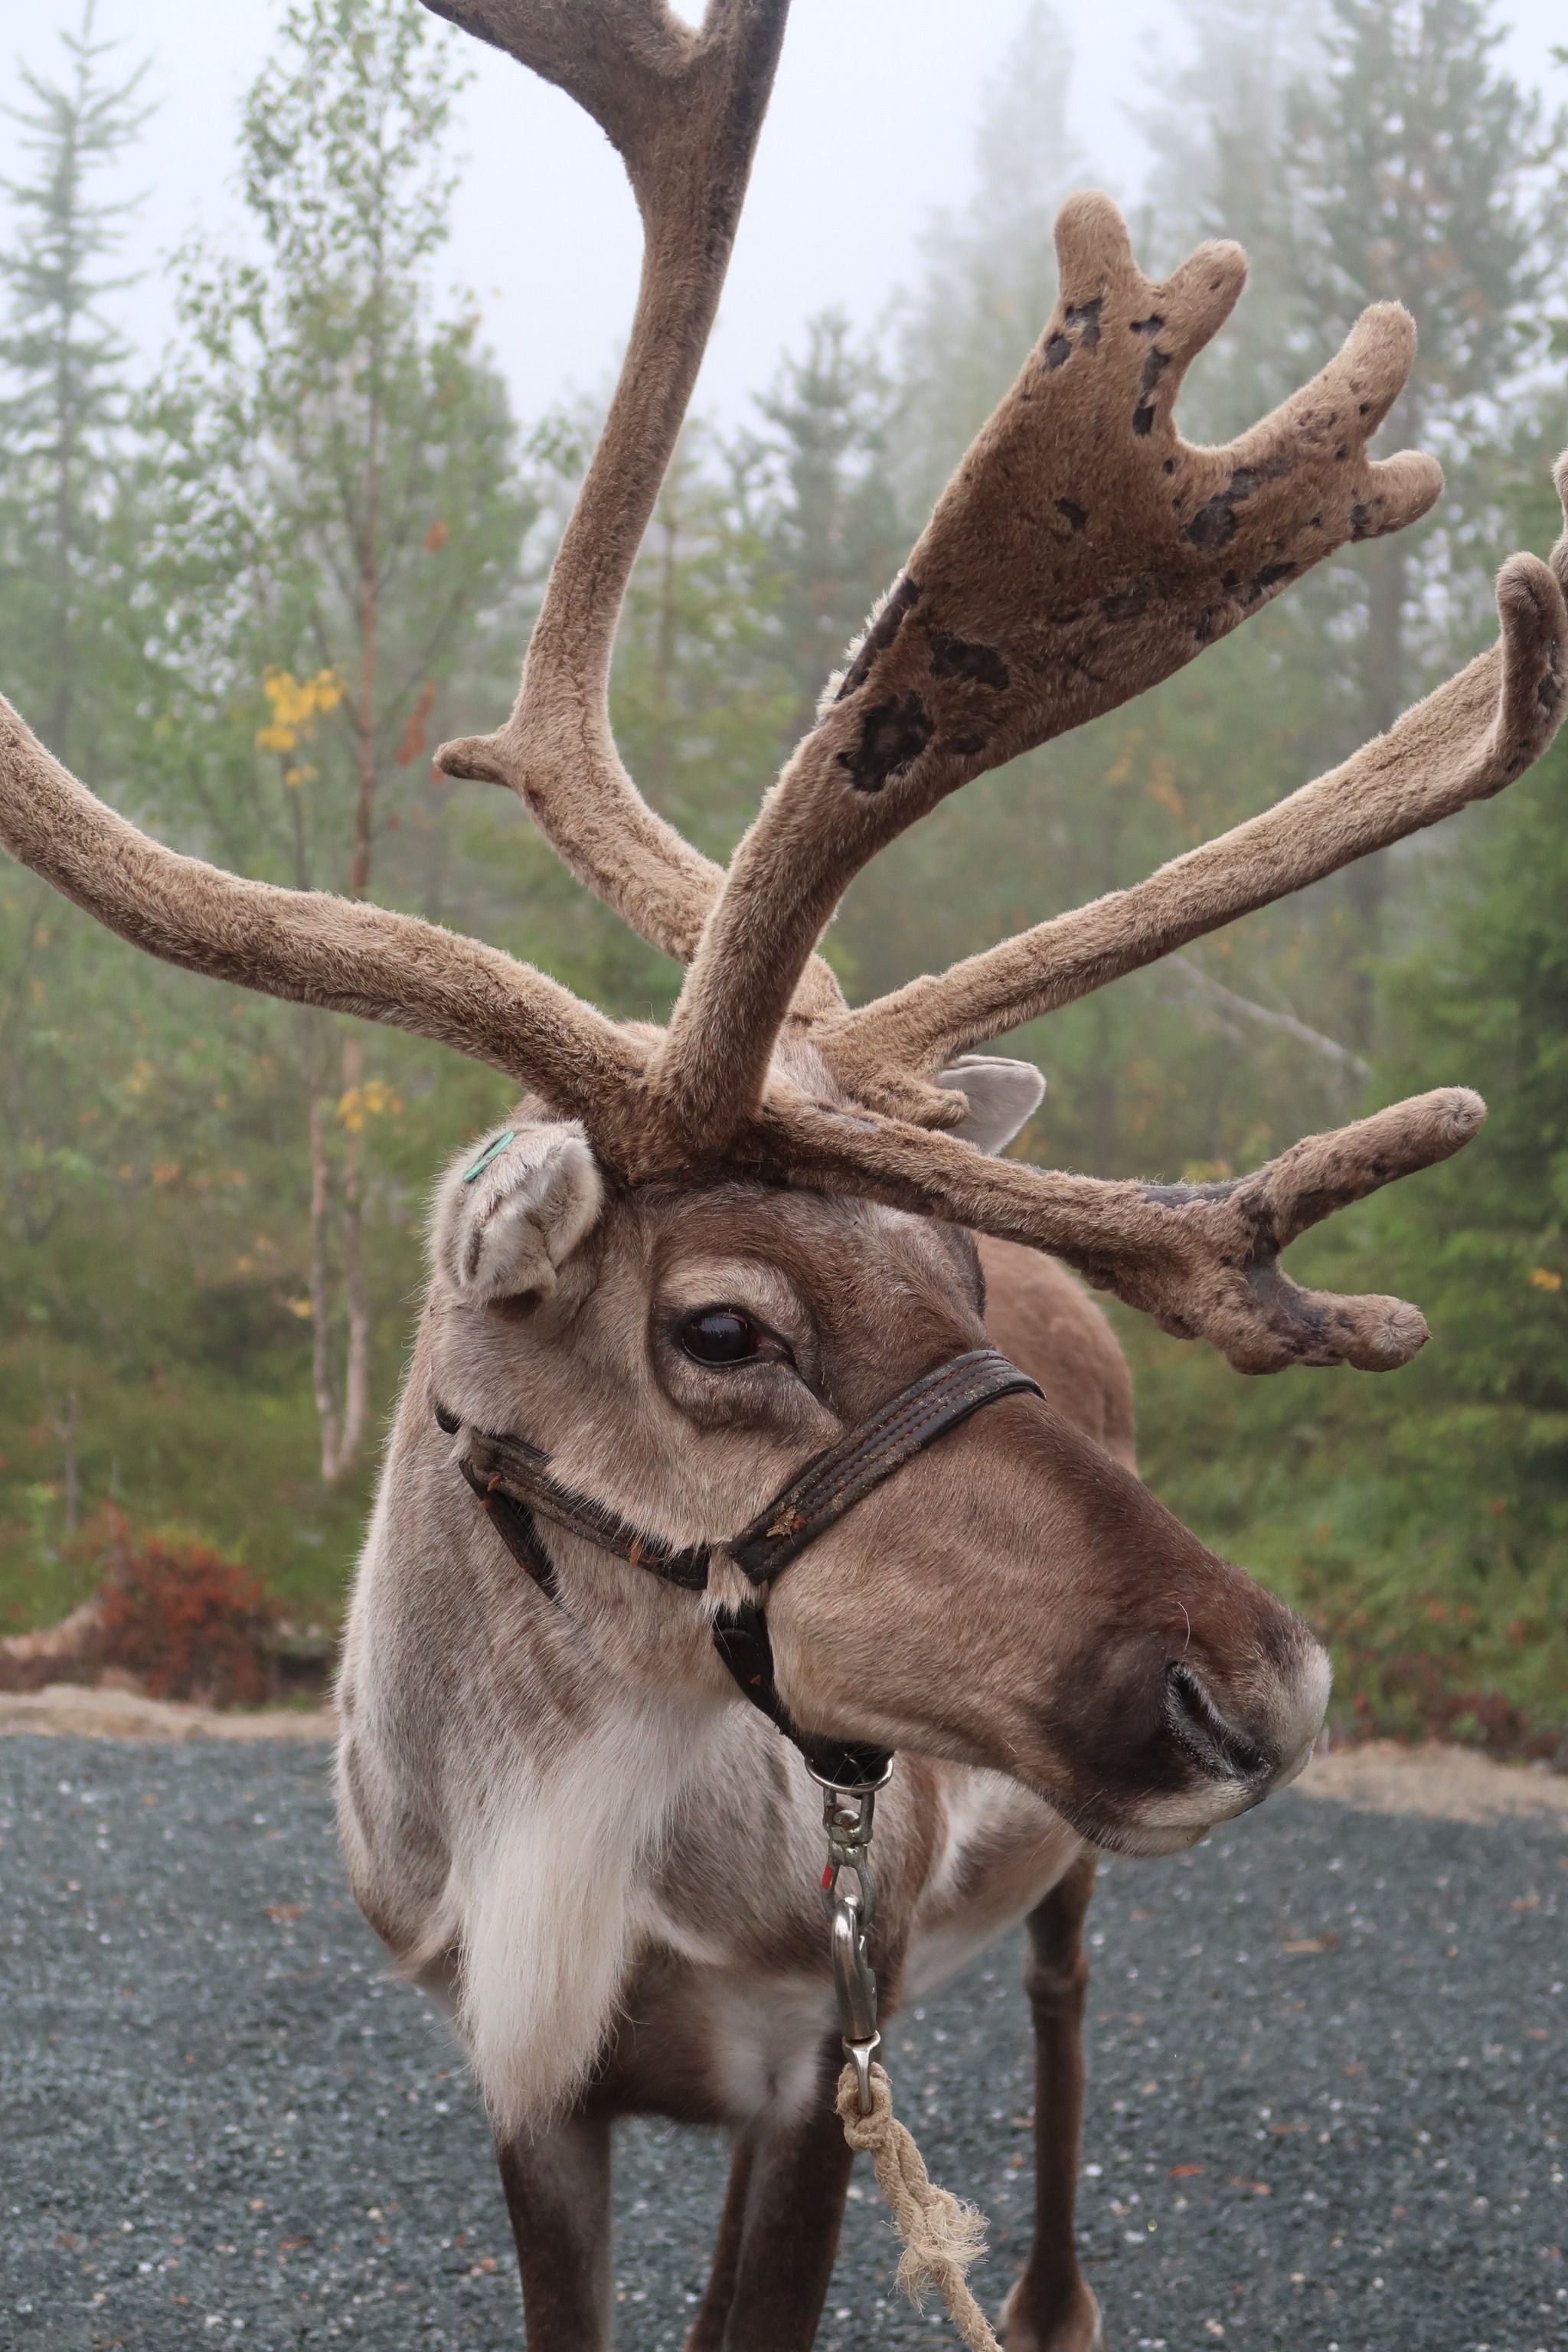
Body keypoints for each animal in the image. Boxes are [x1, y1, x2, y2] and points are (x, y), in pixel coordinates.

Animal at [2, 2, 1566, 2346]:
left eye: (955, 1272)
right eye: (722, 1324)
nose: (1267, 1678)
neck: (555, 1822)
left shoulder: (818, 2045)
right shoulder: (522, 2076)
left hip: (1051, 1877)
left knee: (1067, 2008)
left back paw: (1052, 2293)